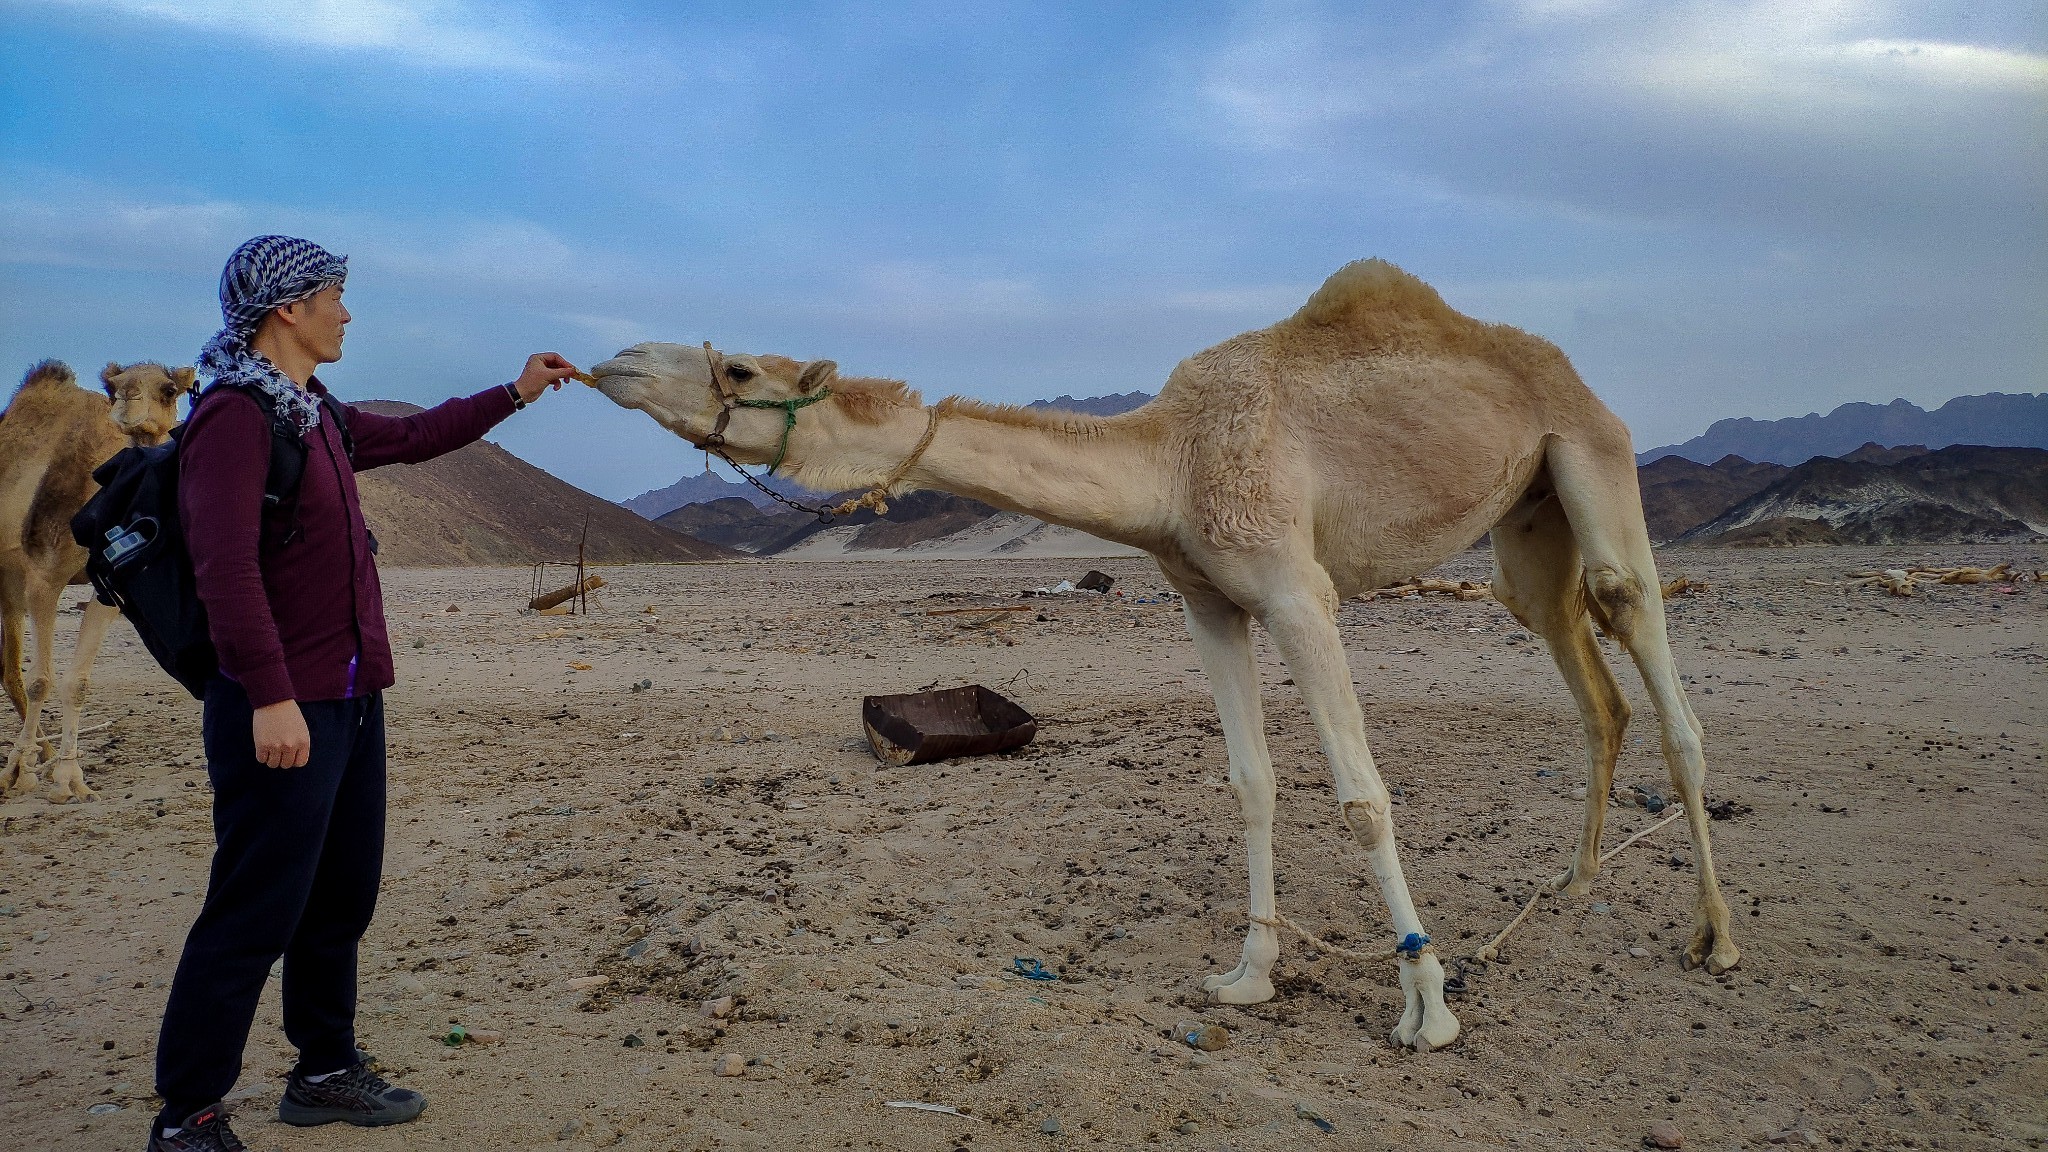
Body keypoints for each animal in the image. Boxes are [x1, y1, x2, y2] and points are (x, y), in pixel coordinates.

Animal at [2, 358, 192, 799]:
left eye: (168, 390)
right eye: (112, 388)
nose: (127, 401)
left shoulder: (109, 591)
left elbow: (77, 682)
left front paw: (68, 779)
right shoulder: (43, 580)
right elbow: (40, 680)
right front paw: (23, 771)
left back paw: (43, 753)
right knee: (15, 670)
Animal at [585, 255, 1736, 1045]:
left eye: (738, 363)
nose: (616, 357)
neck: (1171, 463)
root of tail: (1571, 374)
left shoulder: (1298, 591)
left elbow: (1361, 795)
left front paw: (1424, 1003)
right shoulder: (1206, 601)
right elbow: (1250, 782)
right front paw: (1249, 975)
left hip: (1590, 451)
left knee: (1649, 656)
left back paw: (1714, 936)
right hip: (1525, 525)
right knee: (1589, 681)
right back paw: (1574, 884)